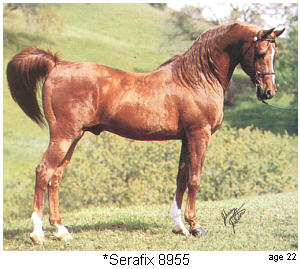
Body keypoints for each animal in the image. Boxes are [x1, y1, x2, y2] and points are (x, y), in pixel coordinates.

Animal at [6, 21, 284, 243]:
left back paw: (61, 230)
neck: (197, 78)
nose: (269, 91)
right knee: (43, 171)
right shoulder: (199, 135)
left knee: (55, 177)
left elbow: (181, 178)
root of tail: (57, 65)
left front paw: (179, 226)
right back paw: (37, 233)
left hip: (74, 137)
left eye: (275, 53)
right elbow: (194, 179)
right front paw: (195, 226)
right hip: (62, 136)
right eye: (260, 52)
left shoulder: (186, 138)